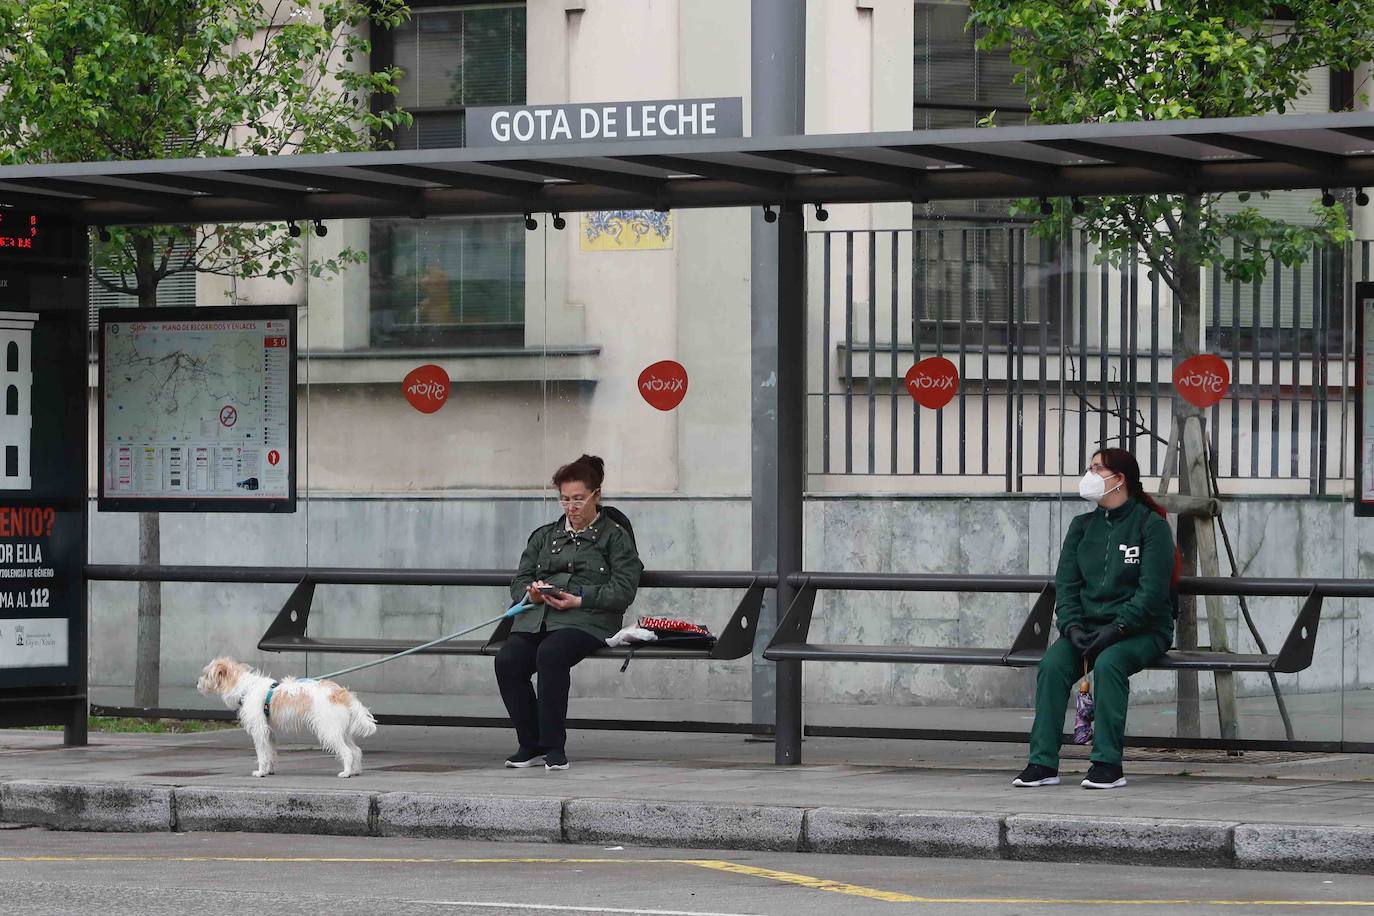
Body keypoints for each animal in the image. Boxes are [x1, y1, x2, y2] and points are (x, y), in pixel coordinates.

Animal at [195, 656, 376, 780]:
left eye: (206, 675)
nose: (197, 683)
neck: (246, 689)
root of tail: (339, 693)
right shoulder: (268, 731)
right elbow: (270, 752)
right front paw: (269, 770)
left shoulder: (259, 730)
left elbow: (262, 753)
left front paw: (260, 772)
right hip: (340, 731)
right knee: (356, 750)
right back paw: (355, 771)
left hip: (328, 731)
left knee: (347, 752)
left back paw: (346, 772)